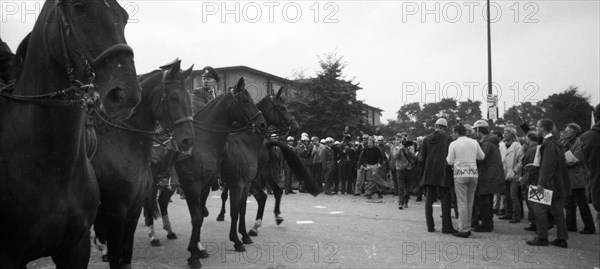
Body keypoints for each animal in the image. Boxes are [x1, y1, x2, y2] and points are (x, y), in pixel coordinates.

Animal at [91, 59, 195, 268]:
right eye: (174, 97)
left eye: (190, 96)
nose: (188, 140)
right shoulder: (117, 210)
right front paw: (153, 236)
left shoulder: (134, 207)